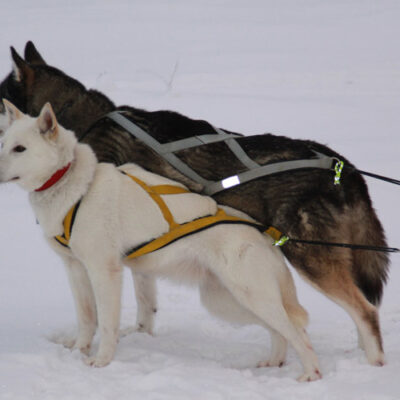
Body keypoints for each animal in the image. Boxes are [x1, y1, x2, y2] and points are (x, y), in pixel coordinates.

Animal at [0, 100, 320, 382]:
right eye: (3, 144)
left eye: (20, 148)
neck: (77, 189)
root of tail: (266, 237)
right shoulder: (75, 269)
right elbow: (87, 318)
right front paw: (78, 351)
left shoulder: (105, 272)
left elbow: (107, 323)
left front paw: (102, 361)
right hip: (228, 302)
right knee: (281, 331)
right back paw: (275, 361)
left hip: (251, 298)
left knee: (298, 333)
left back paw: (311, 374)